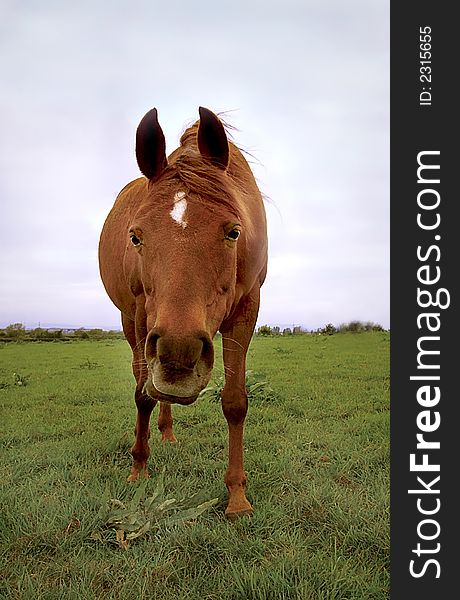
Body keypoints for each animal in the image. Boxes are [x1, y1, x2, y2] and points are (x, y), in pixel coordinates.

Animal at [99, 106, 268, 516]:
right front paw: (138, 469)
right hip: (133, 325)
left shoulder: (247, 309)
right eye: (135, 236)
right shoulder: (142, 316)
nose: (179, 356)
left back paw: (168, 432)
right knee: (144, 383)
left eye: (234, 232)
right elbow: (143, 394)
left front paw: (236, 496)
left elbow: (235, 401)